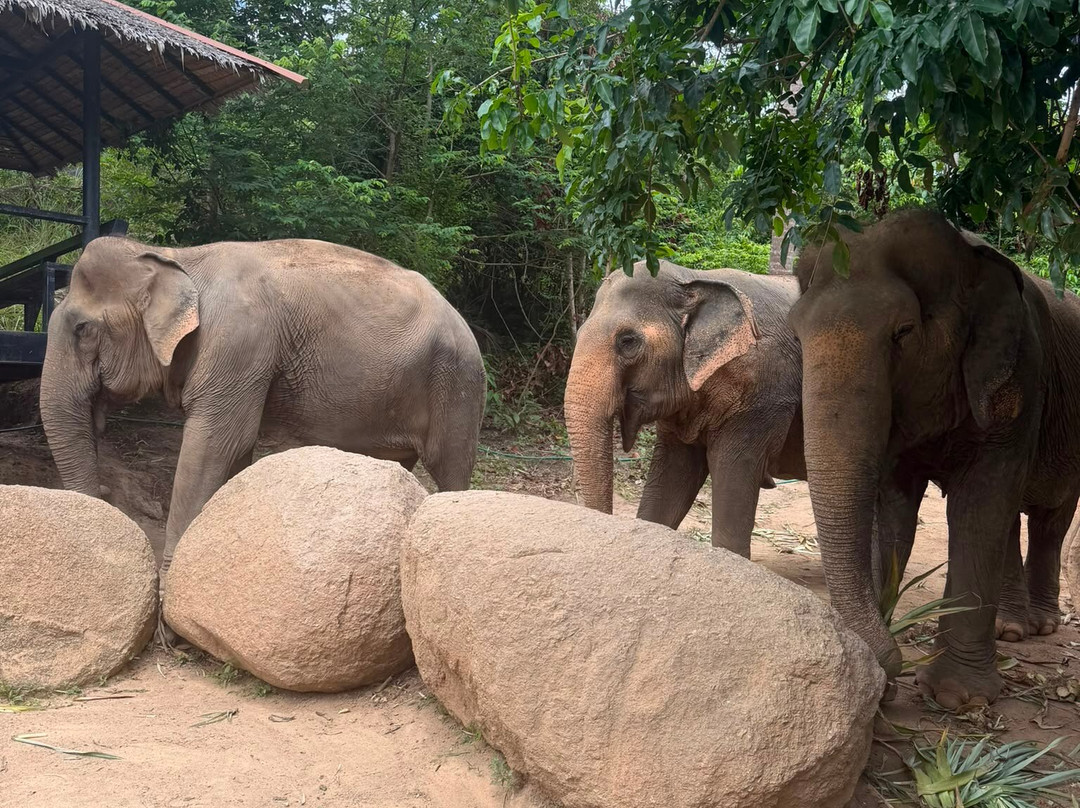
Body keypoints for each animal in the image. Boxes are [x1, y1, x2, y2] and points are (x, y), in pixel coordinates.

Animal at [40, 236, 486, 584]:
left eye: (82, 330)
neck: (175, 255)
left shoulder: (240, 345)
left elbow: (216, 441)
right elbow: (234, 450)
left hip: (457, 384)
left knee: (450, 467)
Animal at [789, 209, 1080, 710]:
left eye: (903, 332)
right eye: (796, 332)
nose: (887, 671)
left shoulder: (1021, 376)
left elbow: (979, 506)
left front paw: (957, 699)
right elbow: (895, 509)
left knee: (1050, 516)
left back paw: (1040, 626)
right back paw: (1010, 630)